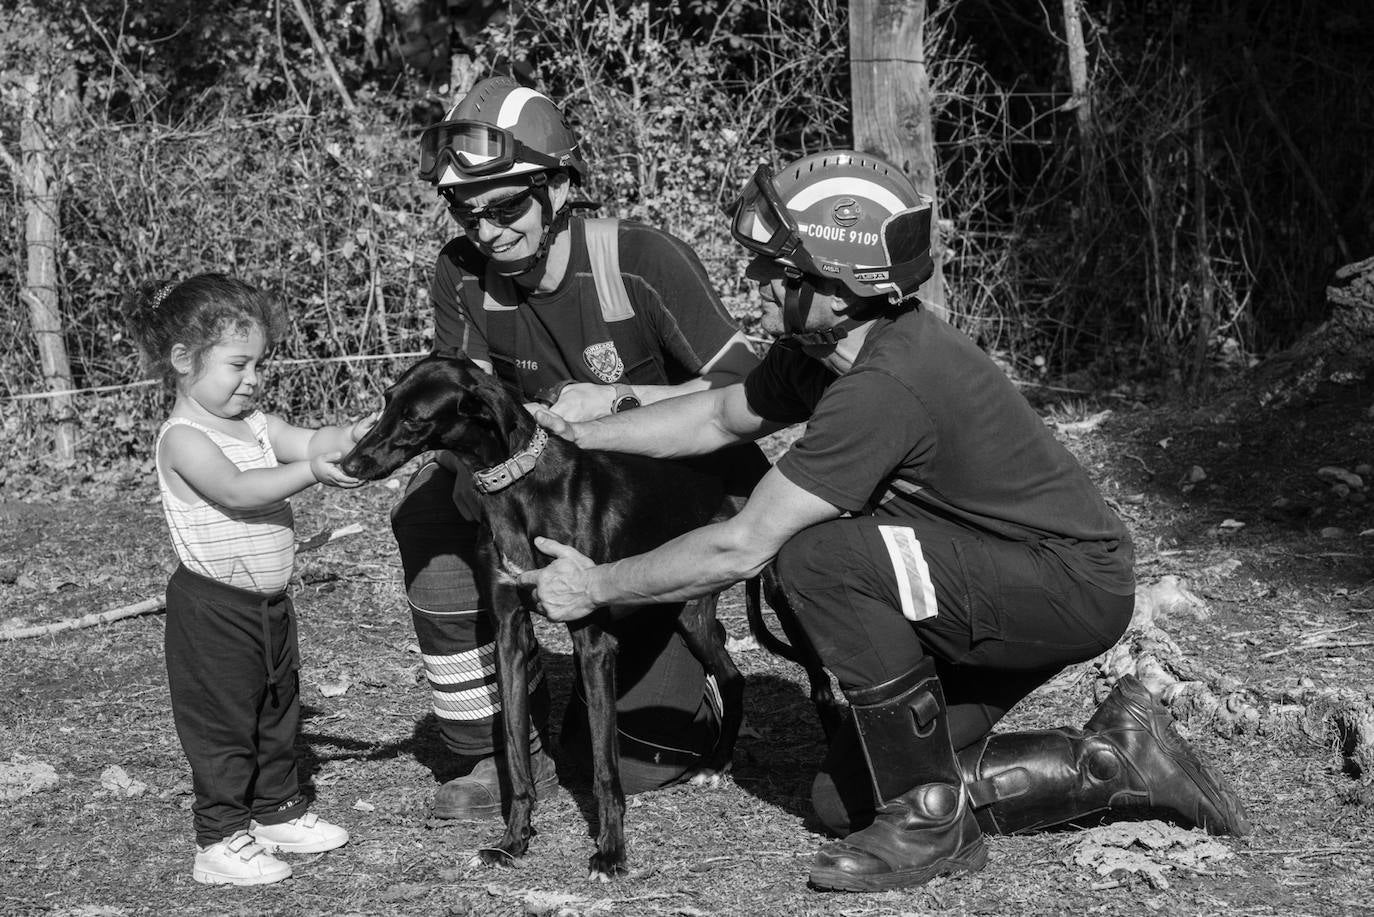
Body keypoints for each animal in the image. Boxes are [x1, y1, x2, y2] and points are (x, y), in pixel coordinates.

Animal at [340, 354, 752, 879]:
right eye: (388, 400)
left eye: (415, 418)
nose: (349, 464)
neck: (518, 489)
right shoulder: (508, 636)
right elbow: (516, 757)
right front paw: (513, 841)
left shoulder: (593, 642)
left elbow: (605, 770)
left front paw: (610, 852)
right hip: (689, 610)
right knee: (732, 674)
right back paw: (715, 763)